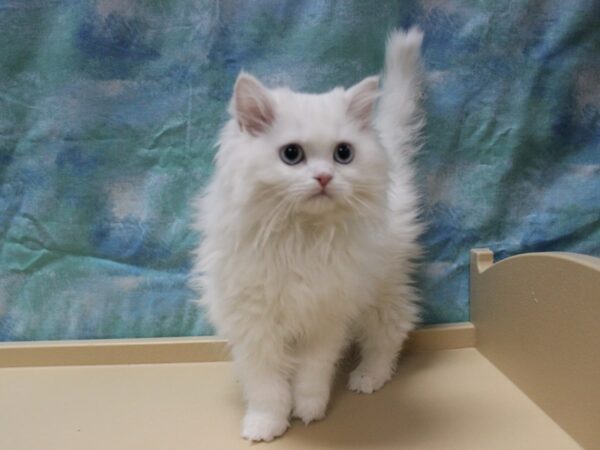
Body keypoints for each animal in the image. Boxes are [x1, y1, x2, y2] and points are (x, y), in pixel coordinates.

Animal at [190, 29, 424, 442]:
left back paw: (369, 377)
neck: (300, 237)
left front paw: (309, 410)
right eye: (291, 154)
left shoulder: (326, 318)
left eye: (343, 153)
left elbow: (312, 374)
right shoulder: (255, 324)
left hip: (384, 290)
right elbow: (266, 384)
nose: (324, 177)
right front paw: (266, 422)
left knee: (391, 332)